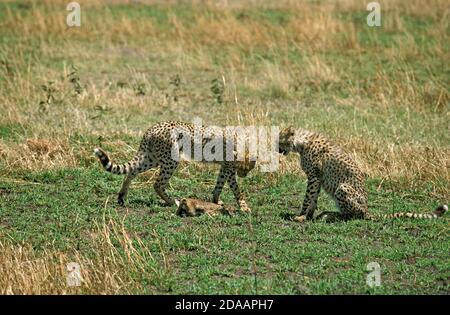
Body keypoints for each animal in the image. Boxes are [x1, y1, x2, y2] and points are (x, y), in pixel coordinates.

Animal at [93, 121, 255, 212]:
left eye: (248, 169)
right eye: (243, 169)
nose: (243, 175)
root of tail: (152, 128)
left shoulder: (226, 168)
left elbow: (220, 183)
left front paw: (216, 200)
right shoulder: (229, 168)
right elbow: (236, 189)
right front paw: (244, 207)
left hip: (152, 158)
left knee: (131, 172)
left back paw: (121, 197)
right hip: (171, 160)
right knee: (158, 184)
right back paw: (173, 202)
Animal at [278, 127, 446, 223]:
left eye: (280, 140)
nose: (277, 149)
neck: (302, 142)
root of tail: (367, 209)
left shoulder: (314, 176)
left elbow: (308, 198)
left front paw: (301, 216)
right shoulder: (317, 178)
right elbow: (313, 198)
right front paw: (308, 216)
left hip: (343, 188)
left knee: (351, 215)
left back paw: (330, 216)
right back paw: (327, 214)